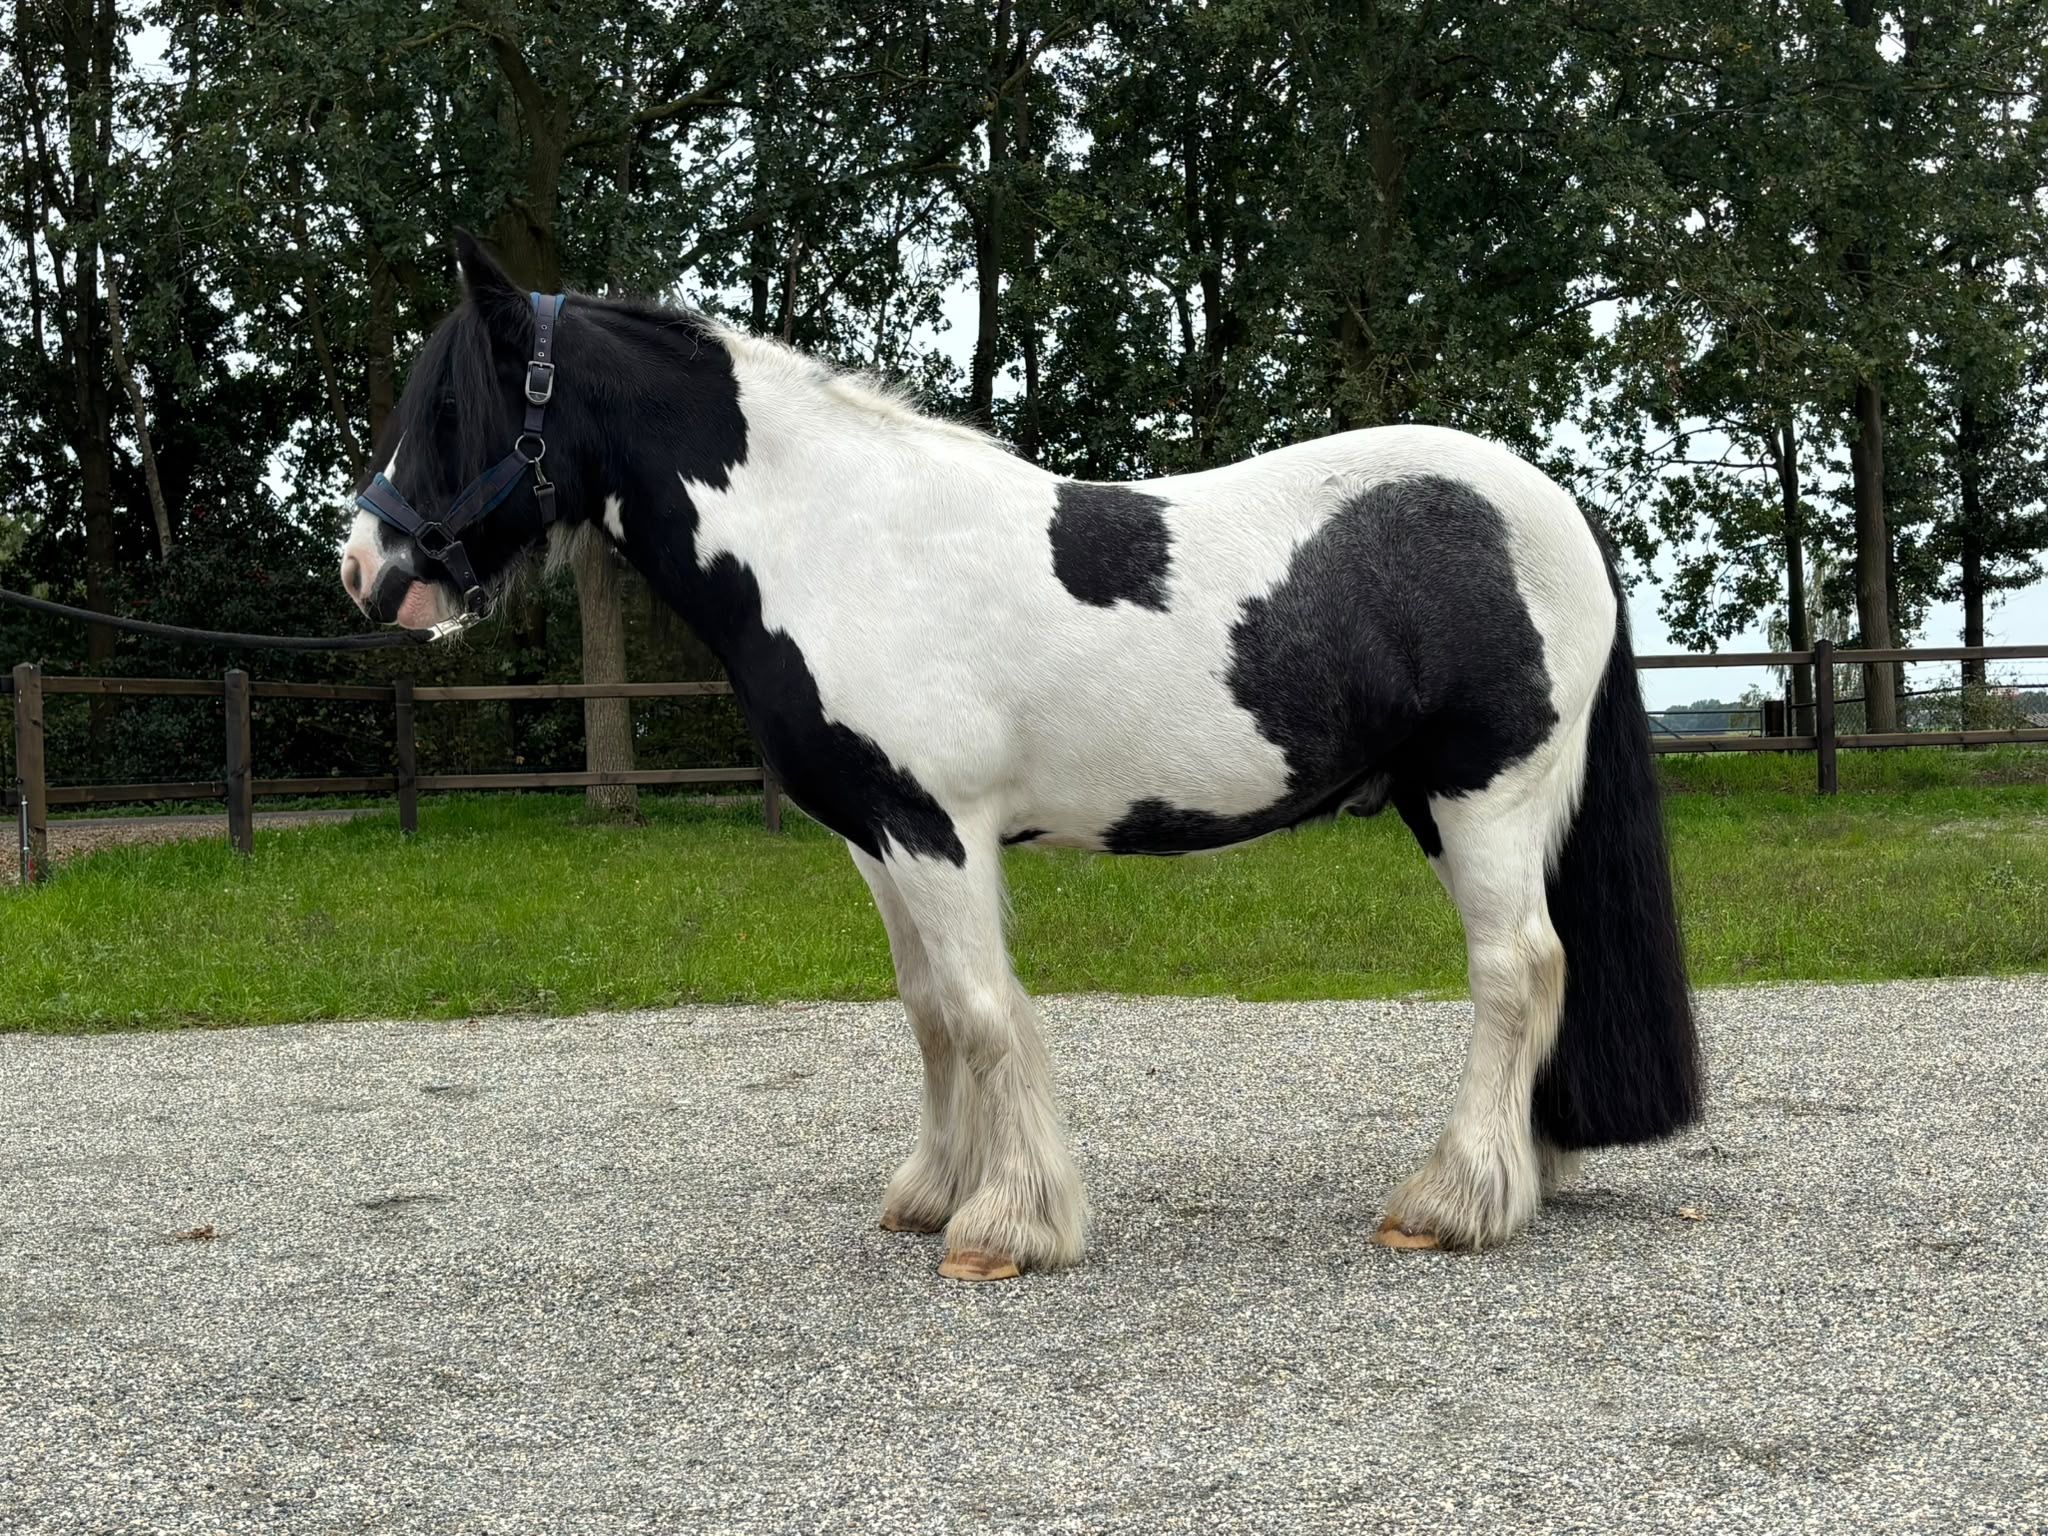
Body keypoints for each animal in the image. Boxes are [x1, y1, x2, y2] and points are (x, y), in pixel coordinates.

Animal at [339, 234, 1701, 1282]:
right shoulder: (875, 835)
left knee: (1515, 971)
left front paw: (1008, 1228)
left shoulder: (933, 829)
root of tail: (1552, 504)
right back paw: (1525, 1166)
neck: (843, 540)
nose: (366, 571)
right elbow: (931, 1014)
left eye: (453, 407)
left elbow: (986, 1014)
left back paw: (1452, 1200)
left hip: (1480, 798)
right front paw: (933, 1193)